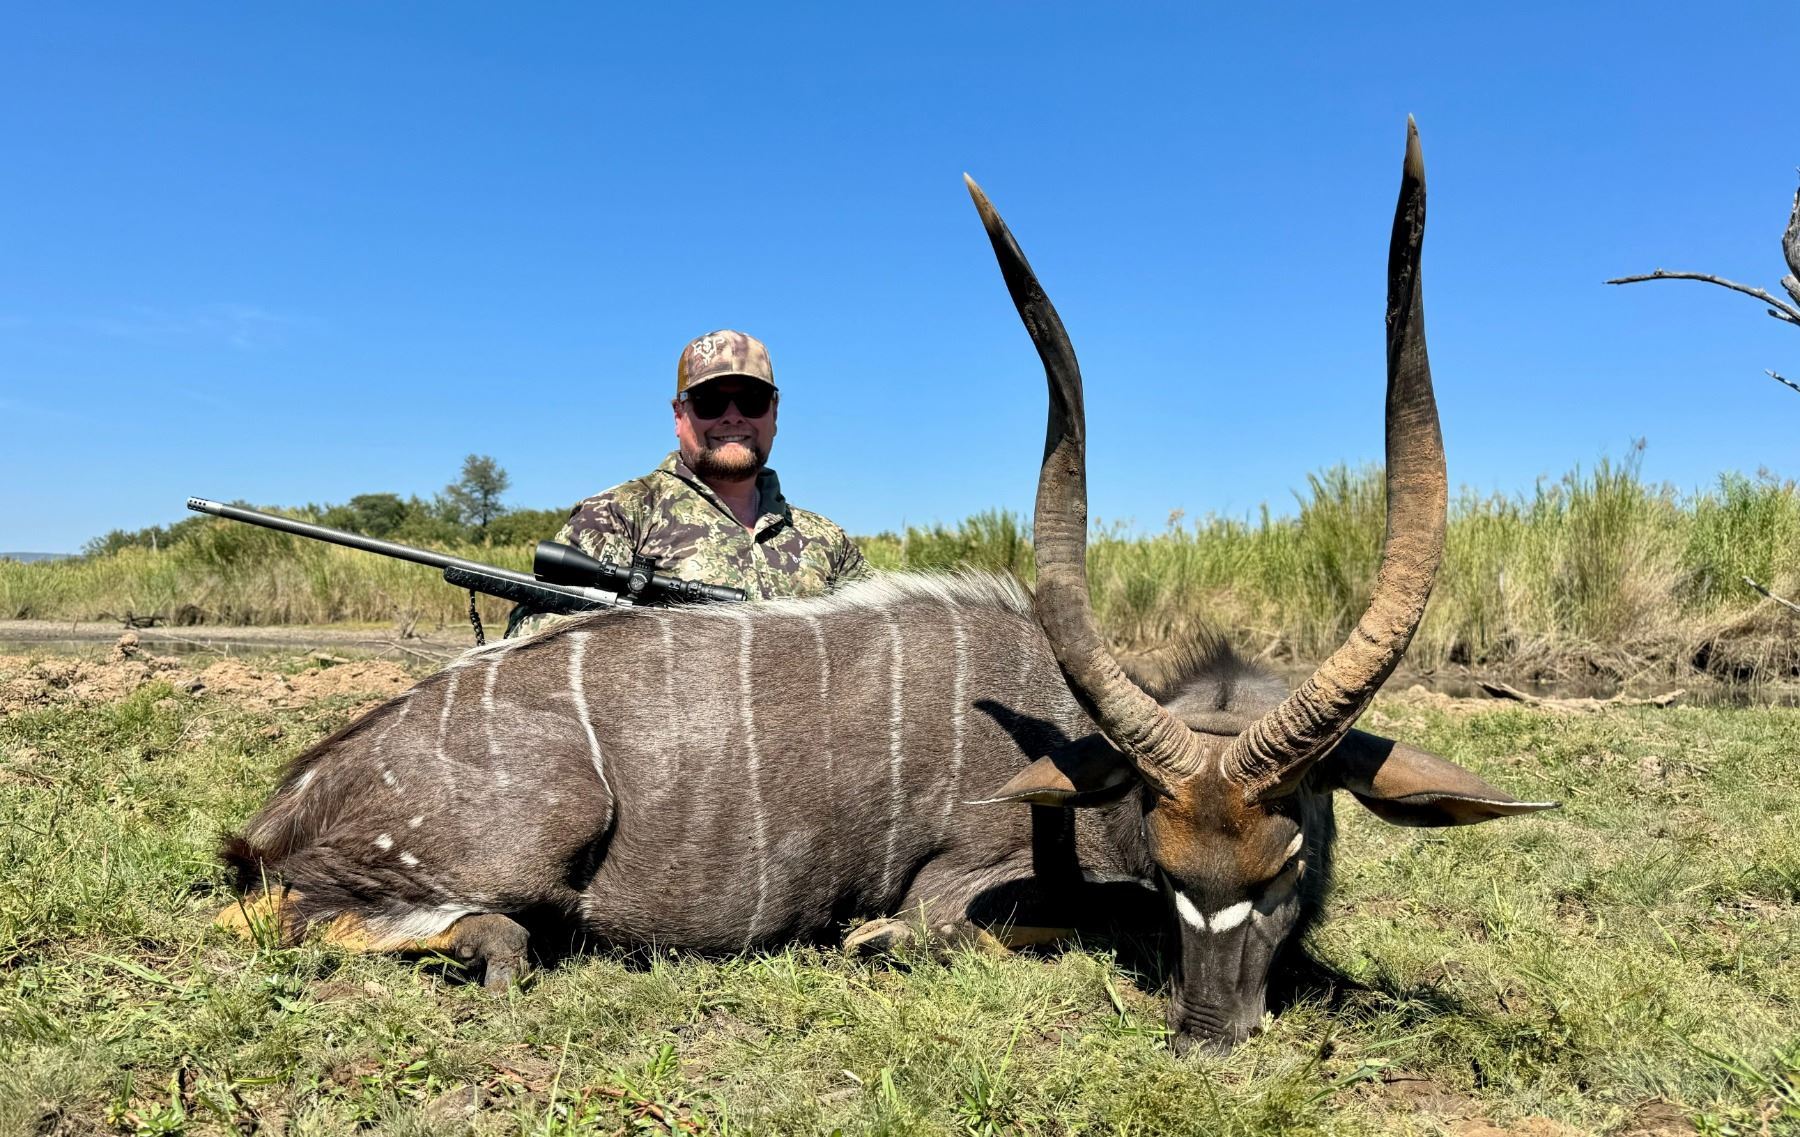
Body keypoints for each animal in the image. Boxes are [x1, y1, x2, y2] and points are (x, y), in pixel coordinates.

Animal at [218, 119, 1556, 1052]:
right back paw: (490, 946)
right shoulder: (960, 884)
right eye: (1178, 872)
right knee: (315, 915)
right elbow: (956, 930)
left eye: (1284, 864)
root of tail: (290, 801)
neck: (1072, 749)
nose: (1211, 1033)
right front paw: (869, 940)